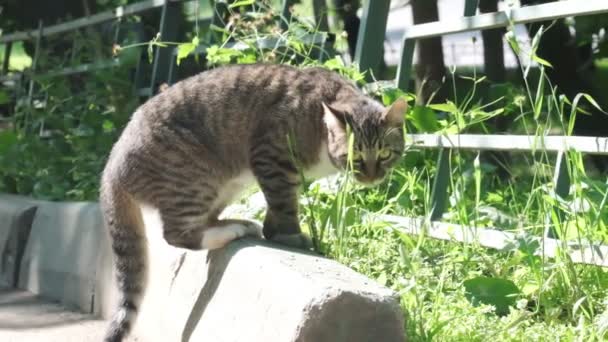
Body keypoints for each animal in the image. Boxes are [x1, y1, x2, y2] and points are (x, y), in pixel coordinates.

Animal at [101, 62, 408, 340]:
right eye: (356, 156)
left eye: (384, 154)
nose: (372, 177)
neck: (319, 121)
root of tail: (112, 165)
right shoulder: (272, 156)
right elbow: (284, 203)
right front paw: (291, 236)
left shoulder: (286, 173)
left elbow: (281, 202)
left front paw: (274, 230)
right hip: (194, 176)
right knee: (177, 233)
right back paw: (230, 230)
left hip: (226, 186)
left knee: (204, 220)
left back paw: (235, 223)